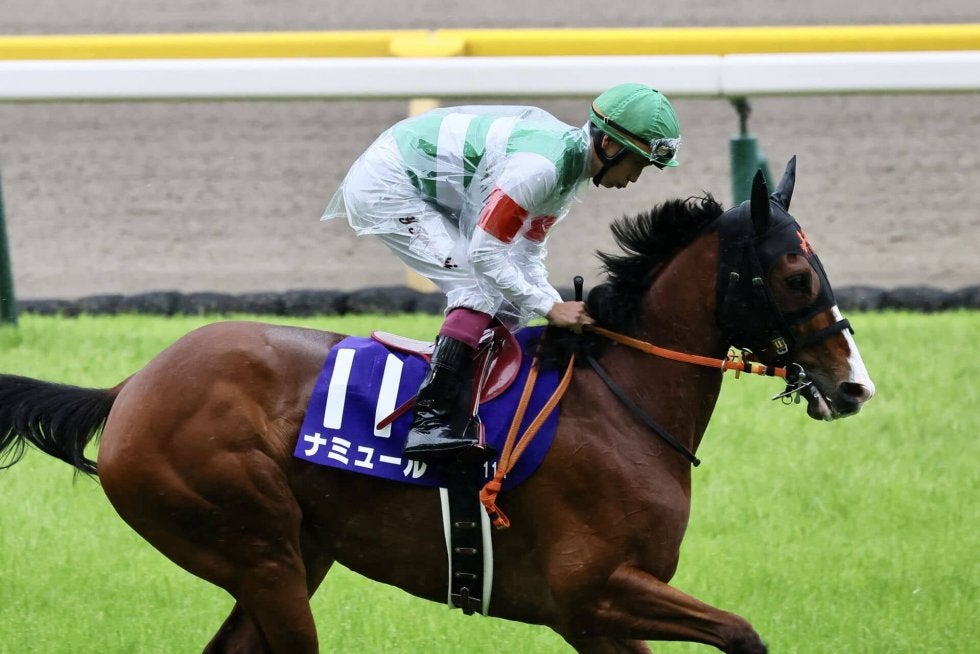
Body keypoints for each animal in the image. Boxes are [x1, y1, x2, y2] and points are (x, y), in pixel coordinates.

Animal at [0, 160, 874, 653]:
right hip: (257, 547)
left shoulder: (594, 620)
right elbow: (745, 635)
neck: (622, 404)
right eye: (796, 274)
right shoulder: (593, 590)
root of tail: (132, 388)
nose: (853, 384)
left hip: (292, 556)